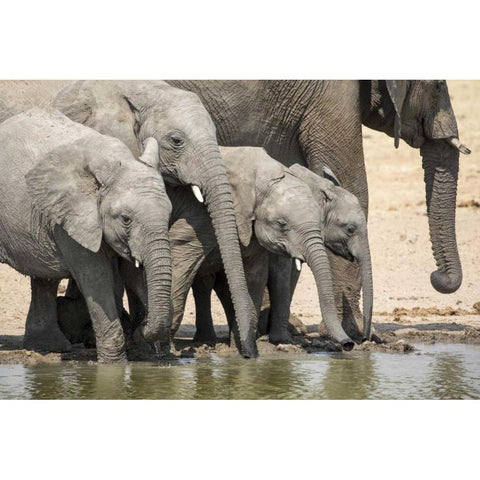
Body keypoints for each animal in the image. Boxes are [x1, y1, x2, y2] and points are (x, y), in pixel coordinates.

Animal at [0, 108, 172, 364]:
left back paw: (50, 347)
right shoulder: (71, 217)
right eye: (126, 219)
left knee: (43, 278)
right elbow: (96, 276)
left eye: (169, 215)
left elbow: (131, 273)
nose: (143, 325)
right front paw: (113, 365)